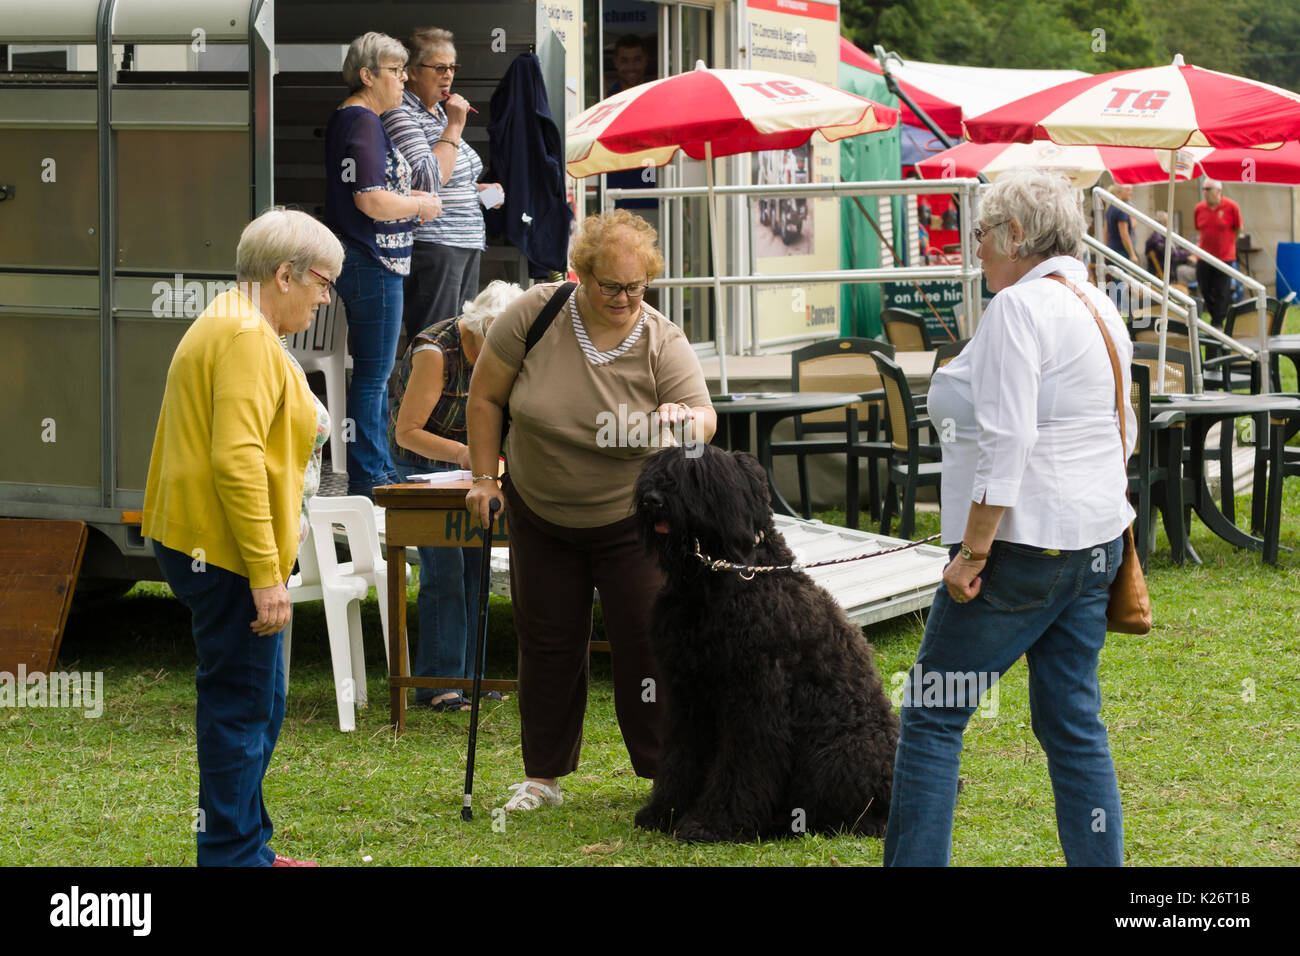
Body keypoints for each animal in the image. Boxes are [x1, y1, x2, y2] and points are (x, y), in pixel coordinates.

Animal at [634, 444, 899, 842]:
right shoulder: (687, 695)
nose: (652, 499)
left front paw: (713, 823)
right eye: (657, 466)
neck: (715, 583)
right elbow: (682, 757)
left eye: (696, 476)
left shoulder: (754, 699)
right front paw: (664, 811)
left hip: (835, 753)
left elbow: (742, 764)